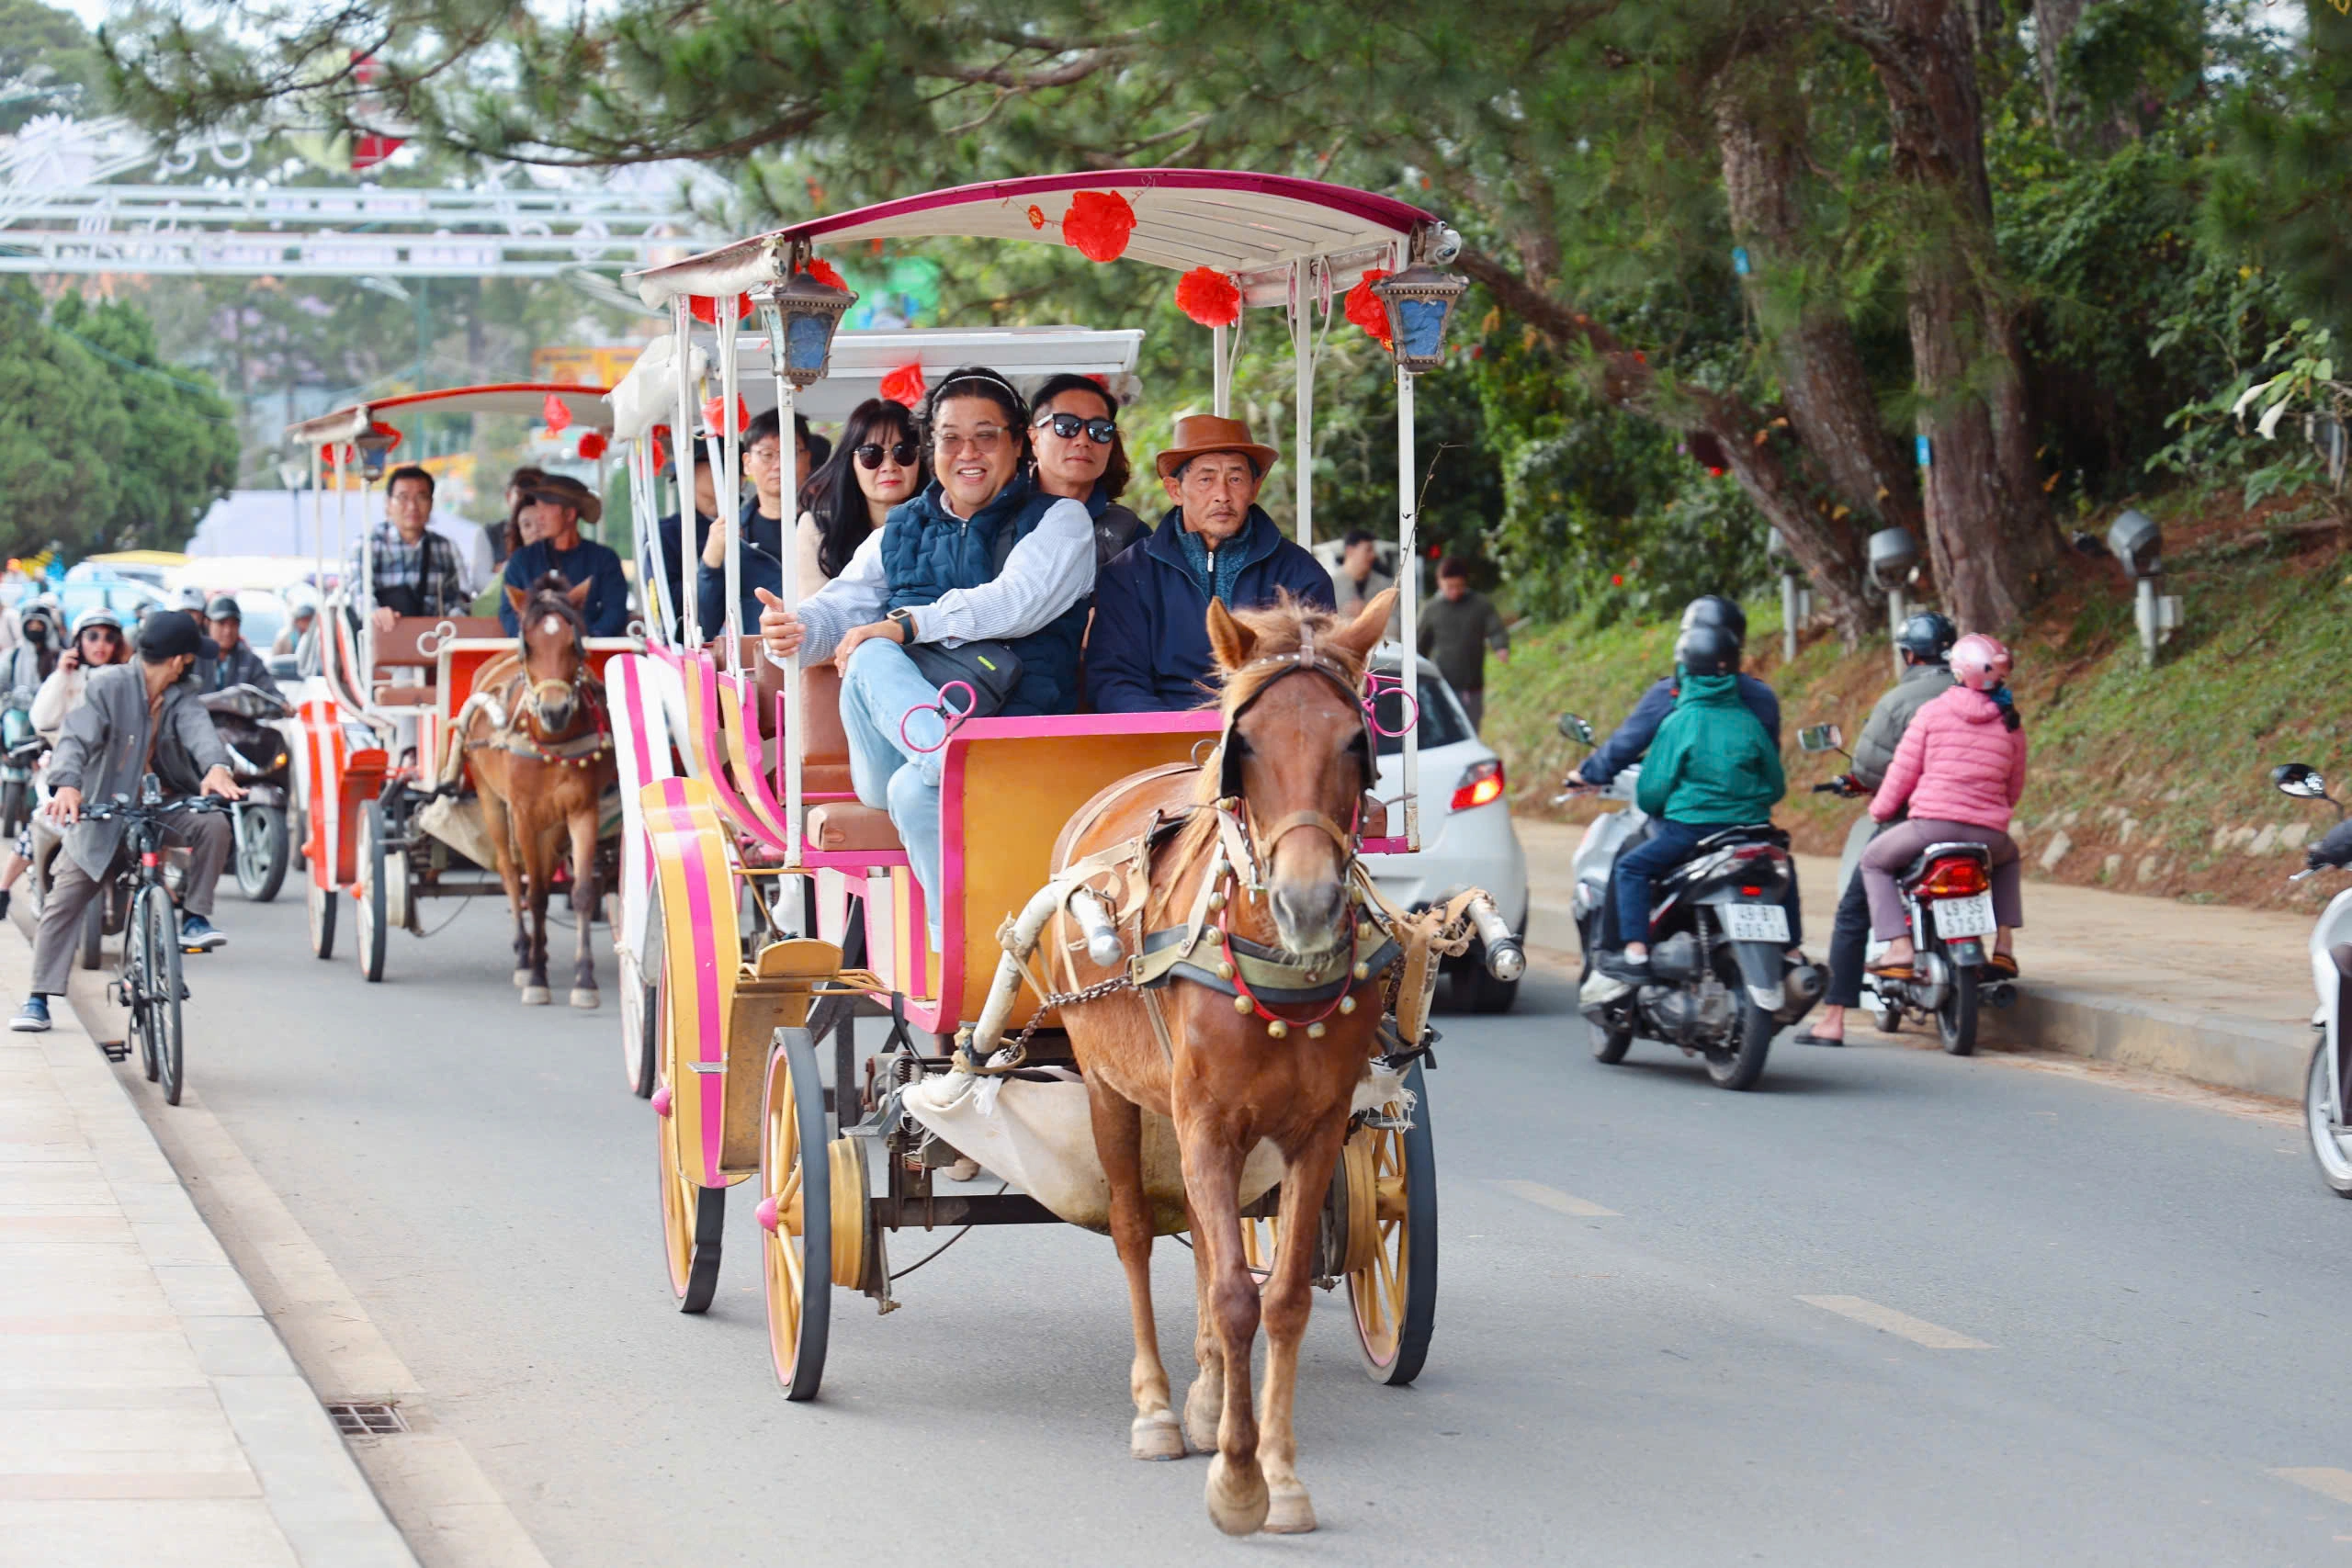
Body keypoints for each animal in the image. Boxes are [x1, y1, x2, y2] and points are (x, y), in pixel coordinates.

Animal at [465, 573, 616, 1006]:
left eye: (574, 645)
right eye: (527, 646)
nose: (554, 711)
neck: (554, 740)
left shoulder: (582, 811)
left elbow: (581, 891)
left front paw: (585, 979)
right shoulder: (523, 813)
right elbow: (533, 894)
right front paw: (535, 977)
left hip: (554, 822)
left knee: (546, 873)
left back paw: (541, 950)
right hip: (492, 801)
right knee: (512, 873)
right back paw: (524, 955)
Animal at [1048, 585, 1392, 1532]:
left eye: (1356, 743)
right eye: (1248, 747)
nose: (1309, 902)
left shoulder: (1316, 1129)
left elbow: (1281, 1295)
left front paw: (1279, 1469)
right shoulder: (1204, 1120)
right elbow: (1237, 1292)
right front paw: (1238, 1482)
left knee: (1208, 1235)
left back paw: (1205, 1397)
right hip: (1111, 1089)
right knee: (1135, 1230)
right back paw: (1161, 1407)